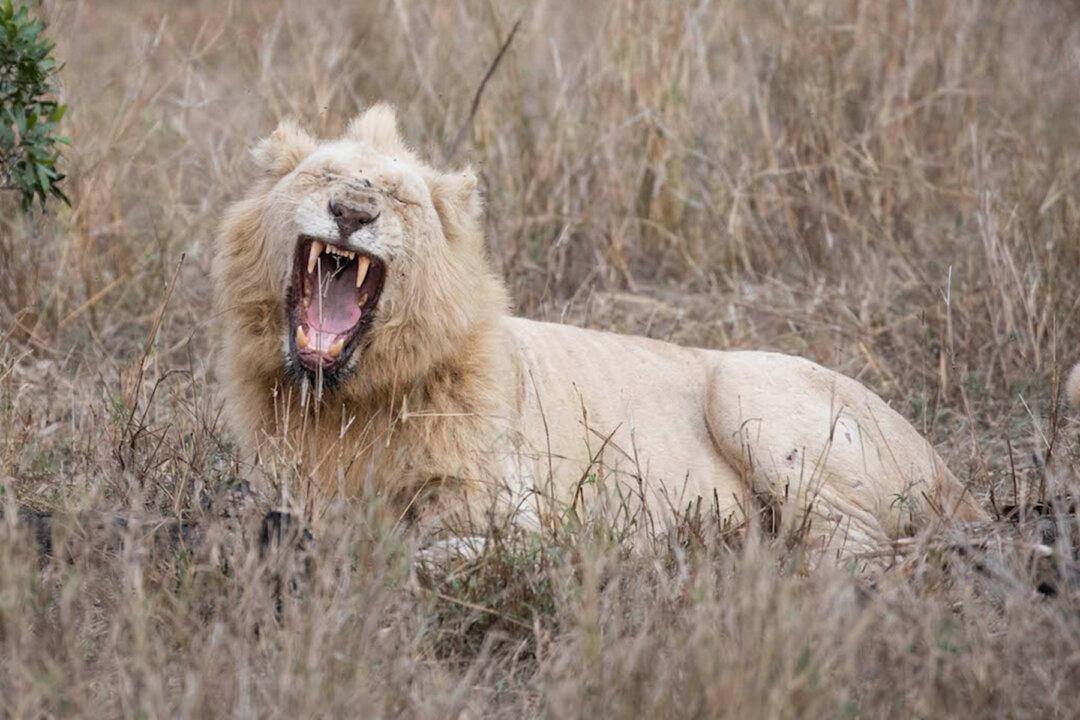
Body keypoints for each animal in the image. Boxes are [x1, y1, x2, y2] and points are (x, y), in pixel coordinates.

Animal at [212, 104, 986, 557]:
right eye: (326, 178)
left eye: (398, 198)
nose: (351, 212)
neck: (344, 401)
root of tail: (951, 473)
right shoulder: (278, 482)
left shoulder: (519, 513)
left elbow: (428, 548)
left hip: (748, 387)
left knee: (862, 548)